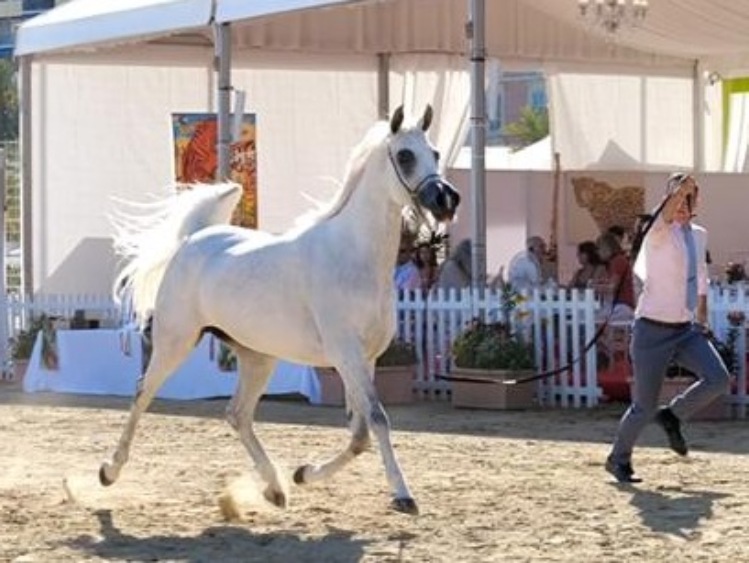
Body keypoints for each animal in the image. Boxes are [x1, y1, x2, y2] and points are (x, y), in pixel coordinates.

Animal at [101, 106, 456, 516]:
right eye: (405, 155)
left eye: (435, 153)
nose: (447, 200)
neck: (354, 256)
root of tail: (193, 240)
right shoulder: (345, 355)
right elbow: (377, 420)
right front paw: (402, 495)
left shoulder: (365, 360)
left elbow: (359, 433)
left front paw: (304, 473)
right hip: (175, 342)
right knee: (143, 393)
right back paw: (108, 471)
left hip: (257, 356)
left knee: (237, 414)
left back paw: (275, 488)